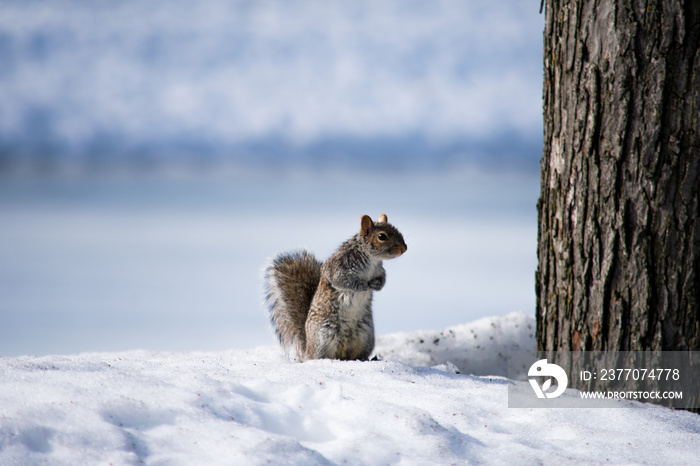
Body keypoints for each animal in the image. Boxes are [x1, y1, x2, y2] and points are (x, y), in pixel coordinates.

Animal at [262, 213, 408, 362]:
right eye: (382, 236)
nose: (404, 248)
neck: (372, 260)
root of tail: (307, 350)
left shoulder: (379, 271)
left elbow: (382, 279)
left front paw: (376, 285)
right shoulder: (338, 267)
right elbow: (342, 281)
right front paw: (361, 285)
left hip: (365, 335)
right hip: (323, 336)